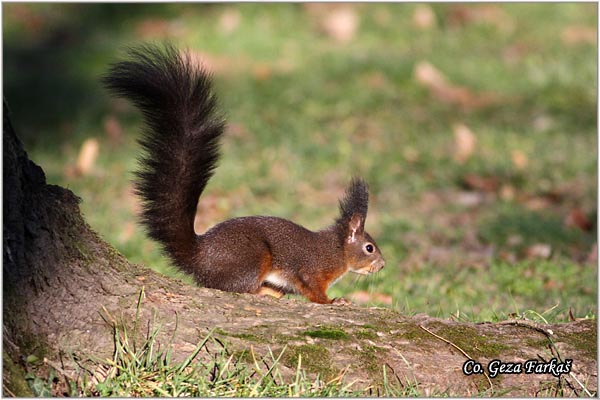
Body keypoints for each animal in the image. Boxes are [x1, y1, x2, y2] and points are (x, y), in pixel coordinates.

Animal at [101, 43, 384, 304]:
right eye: (369, 248)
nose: (382, 265)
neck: (337, 248)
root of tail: (199, 257)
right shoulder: (311, 270)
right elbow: (312, 290)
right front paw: (333, 301)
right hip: (252, 258)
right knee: (233, 287)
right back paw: (264, 292)